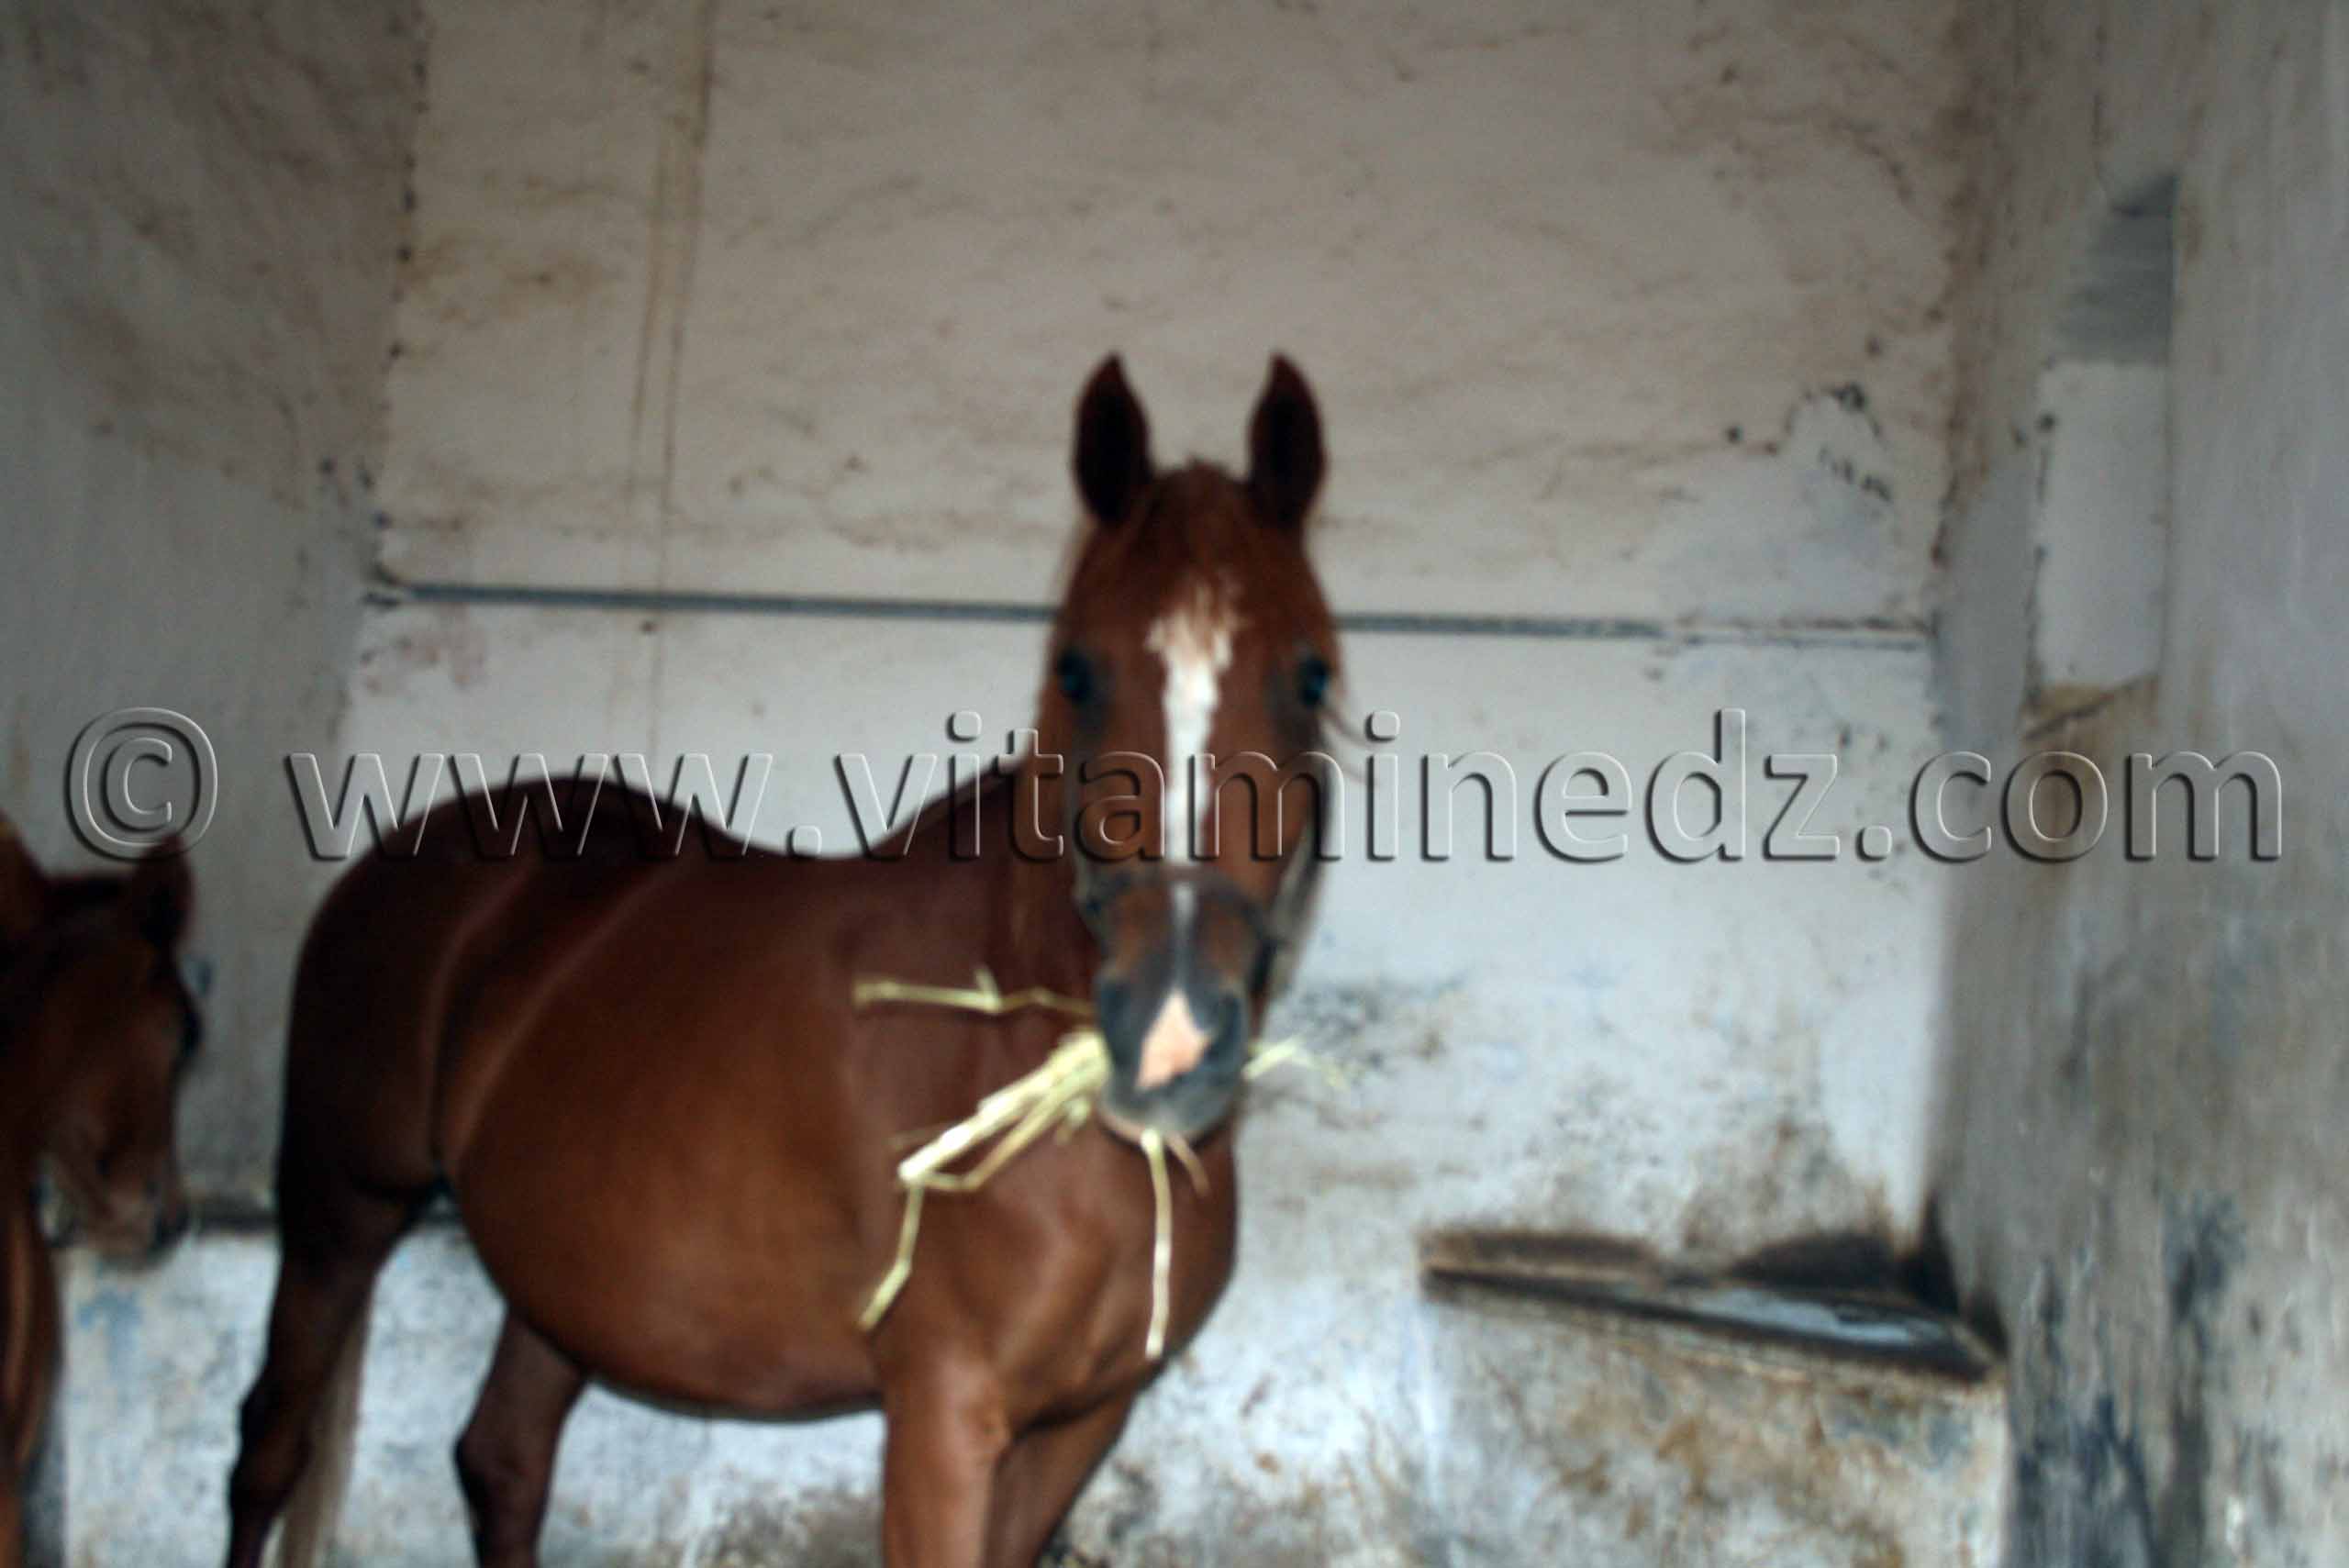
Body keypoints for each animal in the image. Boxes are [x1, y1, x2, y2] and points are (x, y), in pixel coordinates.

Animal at [224, 354, 1343, 1567]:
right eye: (1075, 669)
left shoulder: (1079, 1421)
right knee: (271, 1444)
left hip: (559, 1275)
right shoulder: (944, 1412)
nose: (1171, 1032)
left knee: (503, 1456)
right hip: (340, 1208)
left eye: (1312, 677)